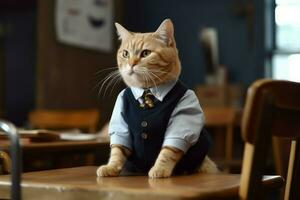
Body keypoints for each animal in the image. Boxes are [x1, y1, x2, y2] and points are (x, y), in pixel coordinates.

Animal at [97, 19, 217, 178]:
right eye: (125, 54)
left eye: (146, 53)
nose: (131, 64)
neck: (147, 91)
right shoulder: (120, 123)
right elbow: (118, 150)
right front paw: (110, 167)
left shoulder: (182, 122)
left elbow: (168, 151)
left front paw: (160, 169)